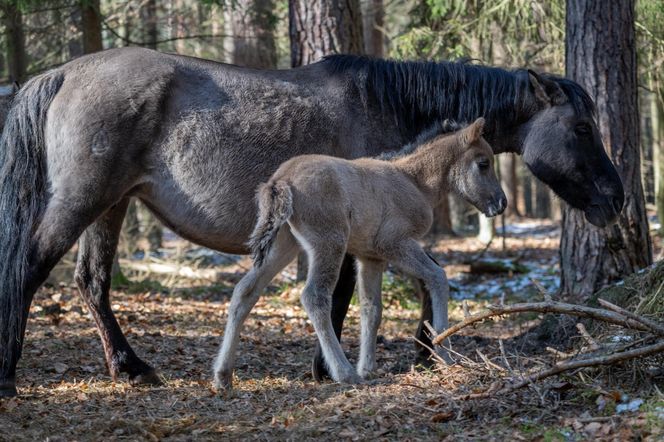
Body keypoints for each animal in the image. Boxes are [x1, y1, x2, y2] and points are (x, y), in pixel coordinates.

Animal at [215, 118, 506, 390]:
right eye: (483, 163)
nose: (501, 204)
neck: (414, 181)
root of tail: (280, 180)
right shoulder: (396, 243)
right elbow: (438, 277)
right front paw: (445, 354)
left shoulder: (371, 256)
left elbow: (371, 309)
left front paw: (368, 368)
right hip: (328, 243)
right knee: (314, 297)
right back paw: (344, 372)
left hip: (284, 244)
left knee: (245, 290)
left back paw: (223, 375)